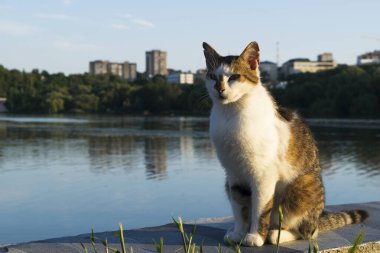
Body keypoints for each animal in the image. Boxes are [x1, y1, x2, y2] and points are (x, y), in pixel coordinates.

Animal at [202, 42, 368, 247]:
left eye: (234, 76)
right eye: (212, 77)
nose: (219, 89)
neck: (230, 114)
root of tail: (318, 220)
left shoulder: (263, 175)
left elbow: (260, 209)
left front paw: (255, 237)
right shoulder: (233, 175)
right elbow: (240, 208)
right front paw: (239, 234)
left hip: (300, 188)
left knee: (305, 232)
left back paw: (276, 234)